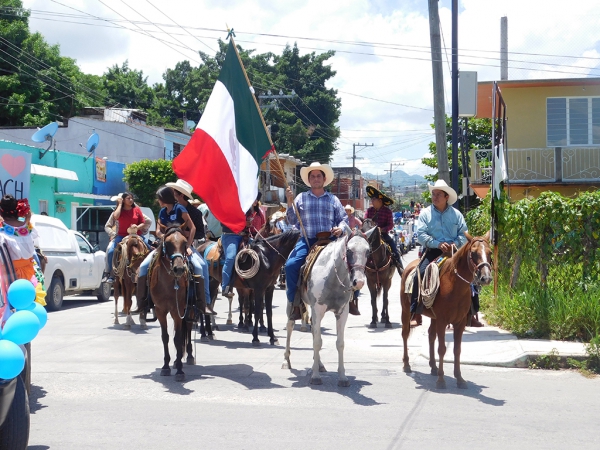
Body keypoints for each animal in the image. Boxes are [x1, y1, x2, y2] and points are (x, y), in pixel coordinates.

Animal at [141, 227, 195, 382]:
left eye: (184, 242)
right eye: (168, 243)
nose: (179, 269)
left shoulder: (178, 311)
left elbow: (178, 338)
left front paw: (180, 371)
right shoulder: (160, 310)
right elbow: (165, 337)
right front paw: (166, 366)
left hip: (188, 311)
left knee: (188, 329)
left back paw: (188, 356)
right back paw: (176, 361)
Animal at [282, 229, 370, 386]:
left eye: (368, 251)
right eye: (349, 250)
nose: (358, 282)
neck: (332, 276)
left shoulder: (342, 312)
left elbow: (339, 343)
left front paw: (342, 377)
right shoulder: (317, 309)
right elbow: (318, 342)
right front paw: (316, 377)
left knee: (313, 331)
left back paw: (319, 364)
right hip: (290, 301)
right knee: (290, 326)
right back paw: (286, 360)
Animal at [398, 230, 492, 388]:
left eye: (490, 253)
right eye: (473, 253)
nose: (486, 278)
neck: (455, 286)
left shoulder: (459, 323)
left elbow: (457, 349)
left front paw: (459, 378)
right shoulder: (443, 321)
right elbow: (442, 349)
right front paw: (441, 380)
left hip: (433, 317)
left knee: (431, 335)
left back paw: (433, 367)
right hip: (406, 311)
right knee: (405, 334)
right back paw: (406, 364)